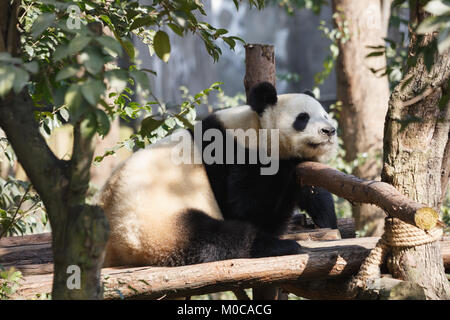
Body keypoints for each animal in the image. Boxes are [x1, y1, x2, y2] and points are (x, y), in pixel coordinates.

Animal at [99, 82, 338, 268]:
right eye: (303, 118)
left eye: (325, 115)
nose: (329, 131)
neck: (256, 128)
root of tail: (115, 250)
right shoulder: (230, 155)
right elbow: (250, 209)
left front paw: (325, 218)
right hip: (158, 223)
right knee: (216, 237)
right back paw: (276, 245)